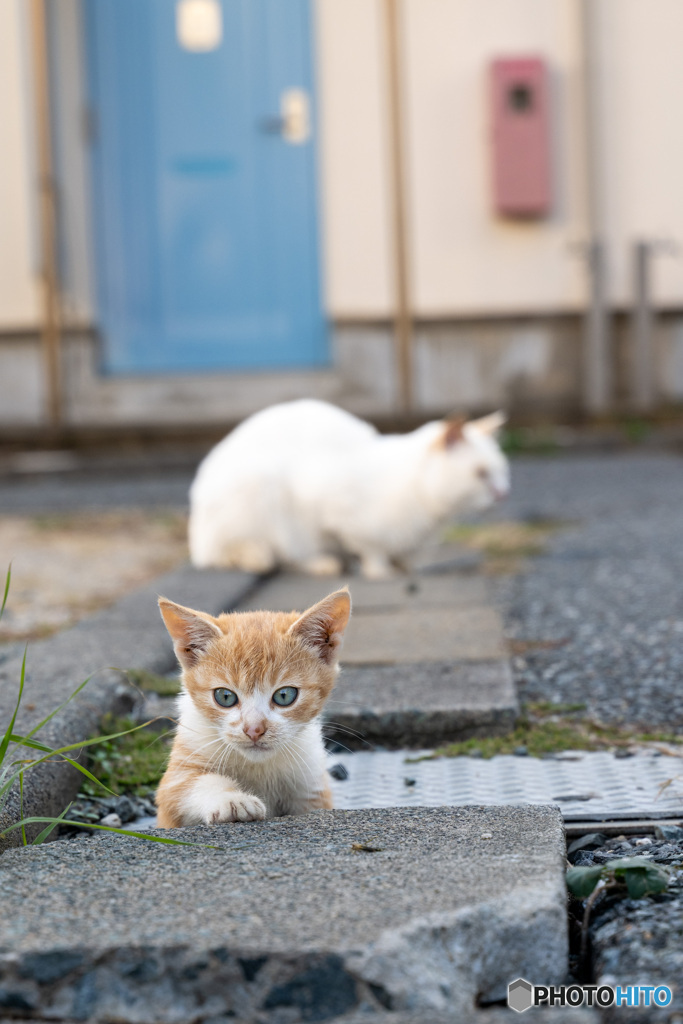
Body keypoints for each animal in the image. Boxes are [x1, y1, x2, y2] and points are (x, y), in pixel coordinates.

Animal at [155, 589, 352, 827]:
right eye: (225, 696)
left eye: (284, 696)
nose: (254, 729)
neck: (257, 766)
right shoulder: (176, 778)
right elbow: (192, 785)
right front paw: (232, 800)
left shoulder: (311, 785)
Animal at [189, 397, 509, 577]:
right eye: (481, 474)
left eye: (501, 471)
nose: (502, 494)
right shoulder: (335, 509)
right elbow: (369, 548)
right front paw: (380, 571)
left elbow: (404, 555)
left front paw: (405, 567)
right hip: (263, 498)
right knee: (275, 556)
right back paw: (322, 564)